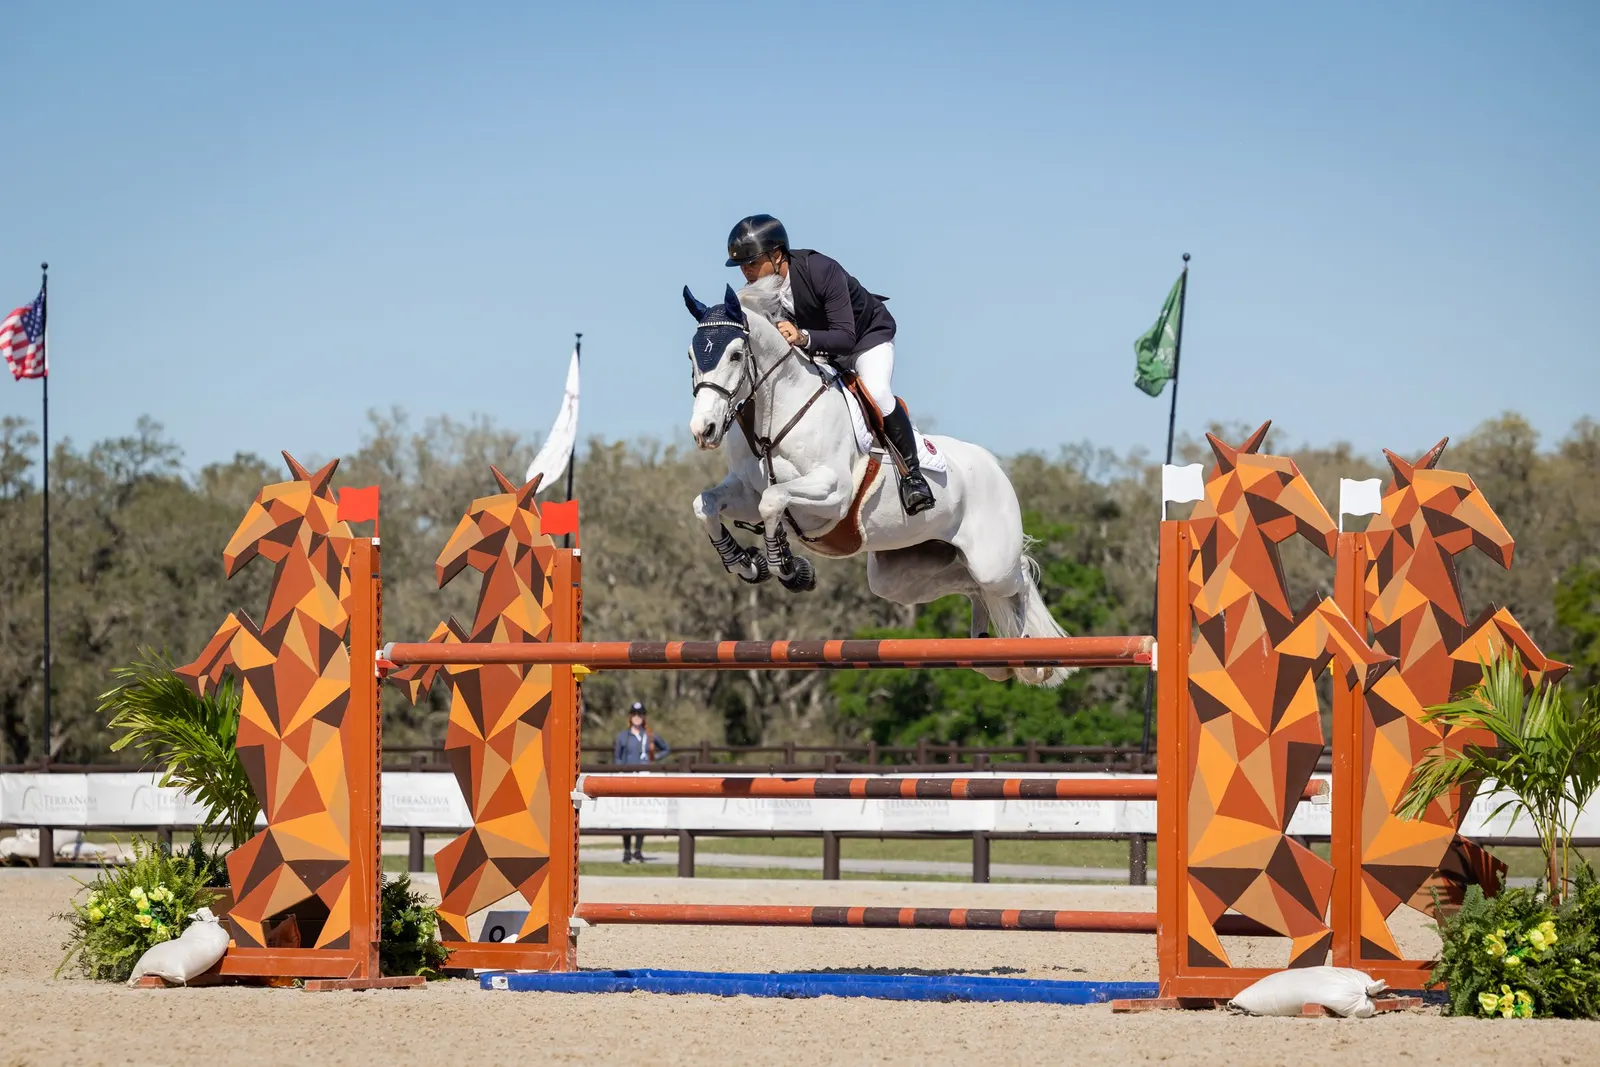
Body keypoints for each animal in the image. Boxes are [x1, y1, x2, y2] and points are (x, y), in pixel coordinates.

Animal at [682, 282, 1070, 687]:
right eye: (691, 356)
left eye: (735, 355)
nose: (704, 431)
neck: (773, 415)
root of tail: (995, 466)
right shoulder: (745, 490)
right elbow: (706, 505)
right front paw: (746, 563)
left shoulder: (832, 493)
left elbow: (772, 500)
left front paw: (787, 568)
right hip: (899, 576)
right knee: (970, 584)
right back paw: (990, 657)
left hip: (991, 562)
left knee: (1016, 577)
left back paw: (1032, 657)